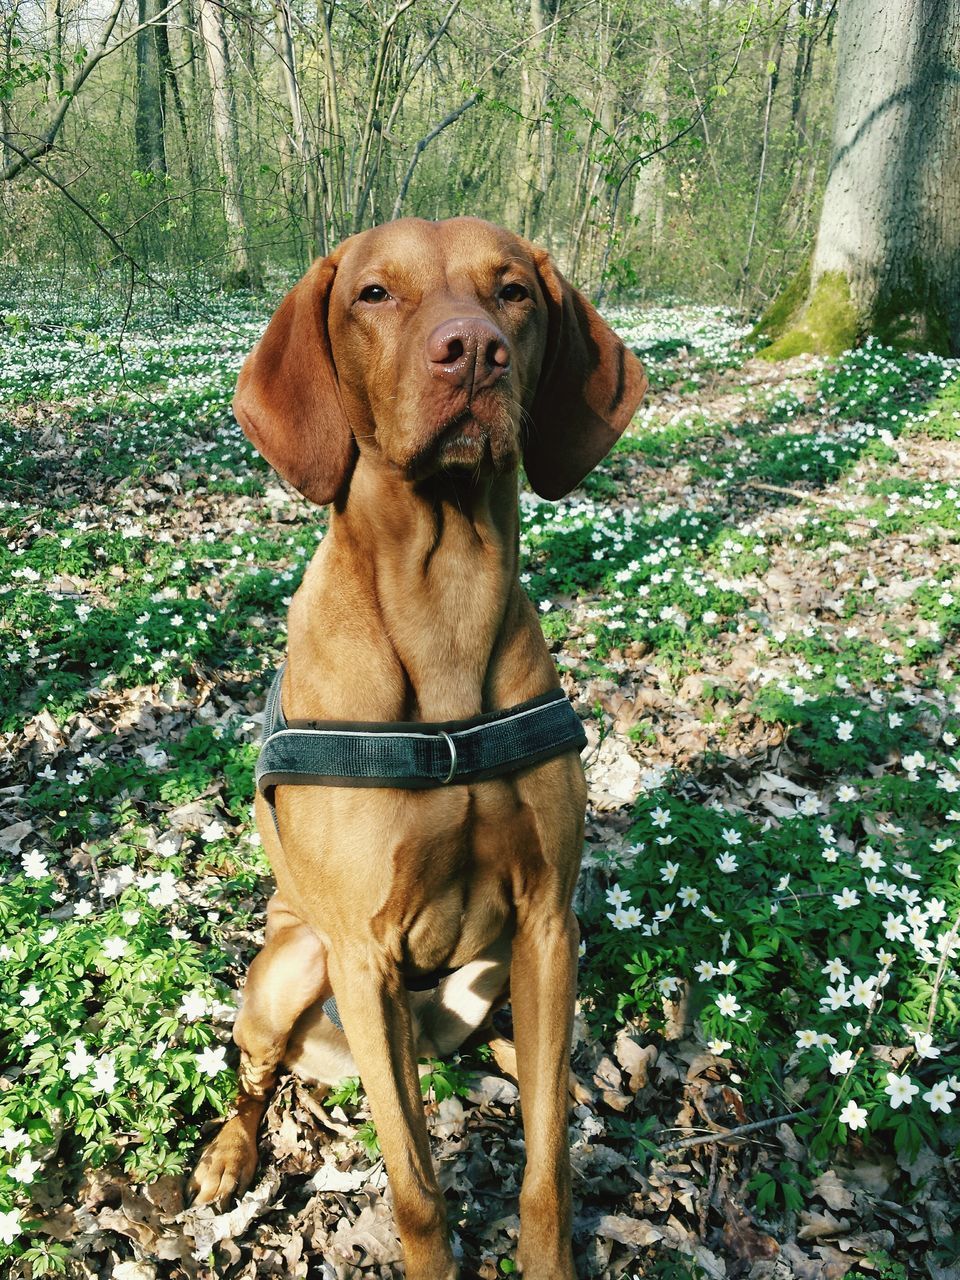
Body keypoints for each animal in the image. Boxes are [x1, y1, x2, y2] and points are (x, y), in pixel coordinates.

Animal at [189, 220, 647, 1280]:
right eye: (374, 293)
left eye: (513, 291)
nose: (472, 350)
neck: (444, 600)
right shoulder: (362, 958)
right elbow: (418, 1191)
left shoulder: (548, 921)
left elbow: (546, 1169)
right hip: (292, 971)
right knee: (255, 1076)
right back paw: (229, 1152)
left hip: (502, 970)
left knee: (523, 1058)